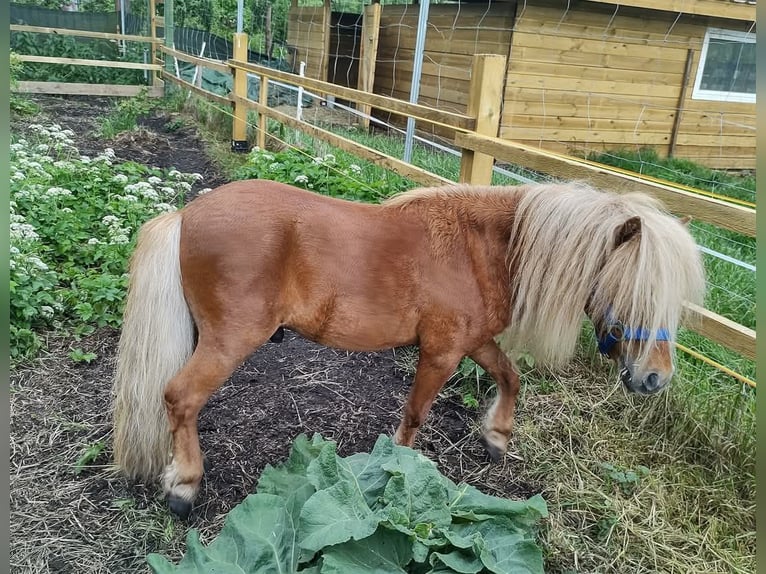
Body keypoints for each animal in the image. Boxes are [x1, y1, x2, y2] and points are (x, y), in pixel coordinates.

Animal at [111, 182, 704, 520]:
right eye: (639, 292)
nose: (656, 378)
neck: (483, 247)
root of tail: (187, 214)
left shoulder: (474, 342)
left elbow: (510, 376)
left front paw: (497, 437)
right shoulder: (440, 354)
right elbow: (416, 414)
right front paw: (399, 468)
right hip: (228, 342)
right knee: (180, 398)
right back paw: (183, 486)